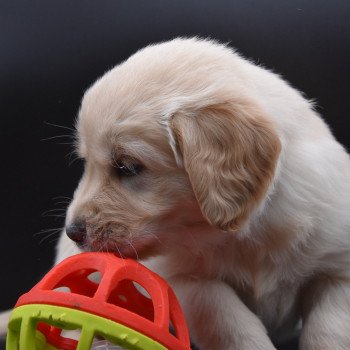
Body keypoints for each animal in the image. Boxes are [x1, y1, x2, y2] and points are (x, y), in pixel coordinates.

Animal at [50, 37, 350, 348]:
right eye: (87, 162)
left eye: (127, 166)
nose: (73, 232)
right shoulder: (190, 283)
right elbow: (233, 325)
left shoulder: (338, 272)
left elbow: (329, 329)